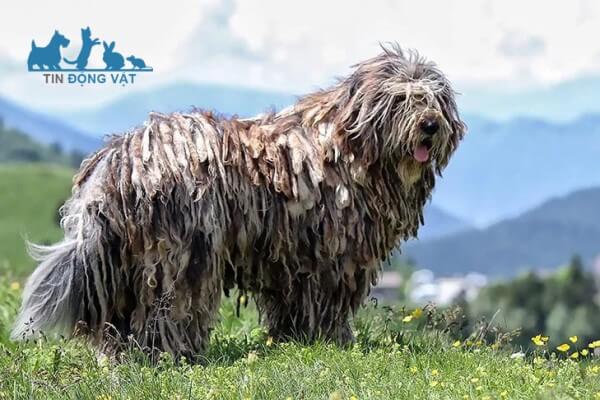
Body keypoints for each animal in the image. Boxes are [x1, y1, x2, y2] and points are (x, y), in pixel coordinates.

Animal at [11, 44, 466, 360]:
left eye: (434, 100)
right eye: (402, 100)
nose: (430, 125)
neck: (345, 149)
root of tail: (121, 159)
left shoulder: (293, 260)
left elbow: (293, 307)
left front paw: (295, 339)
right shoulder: (331, 257)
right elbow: (326, 303)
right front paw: (332, 339)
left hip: (131, 260)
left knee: (125, 315)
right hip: (181, 254)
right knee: (169, 309)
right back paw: (172, 353)